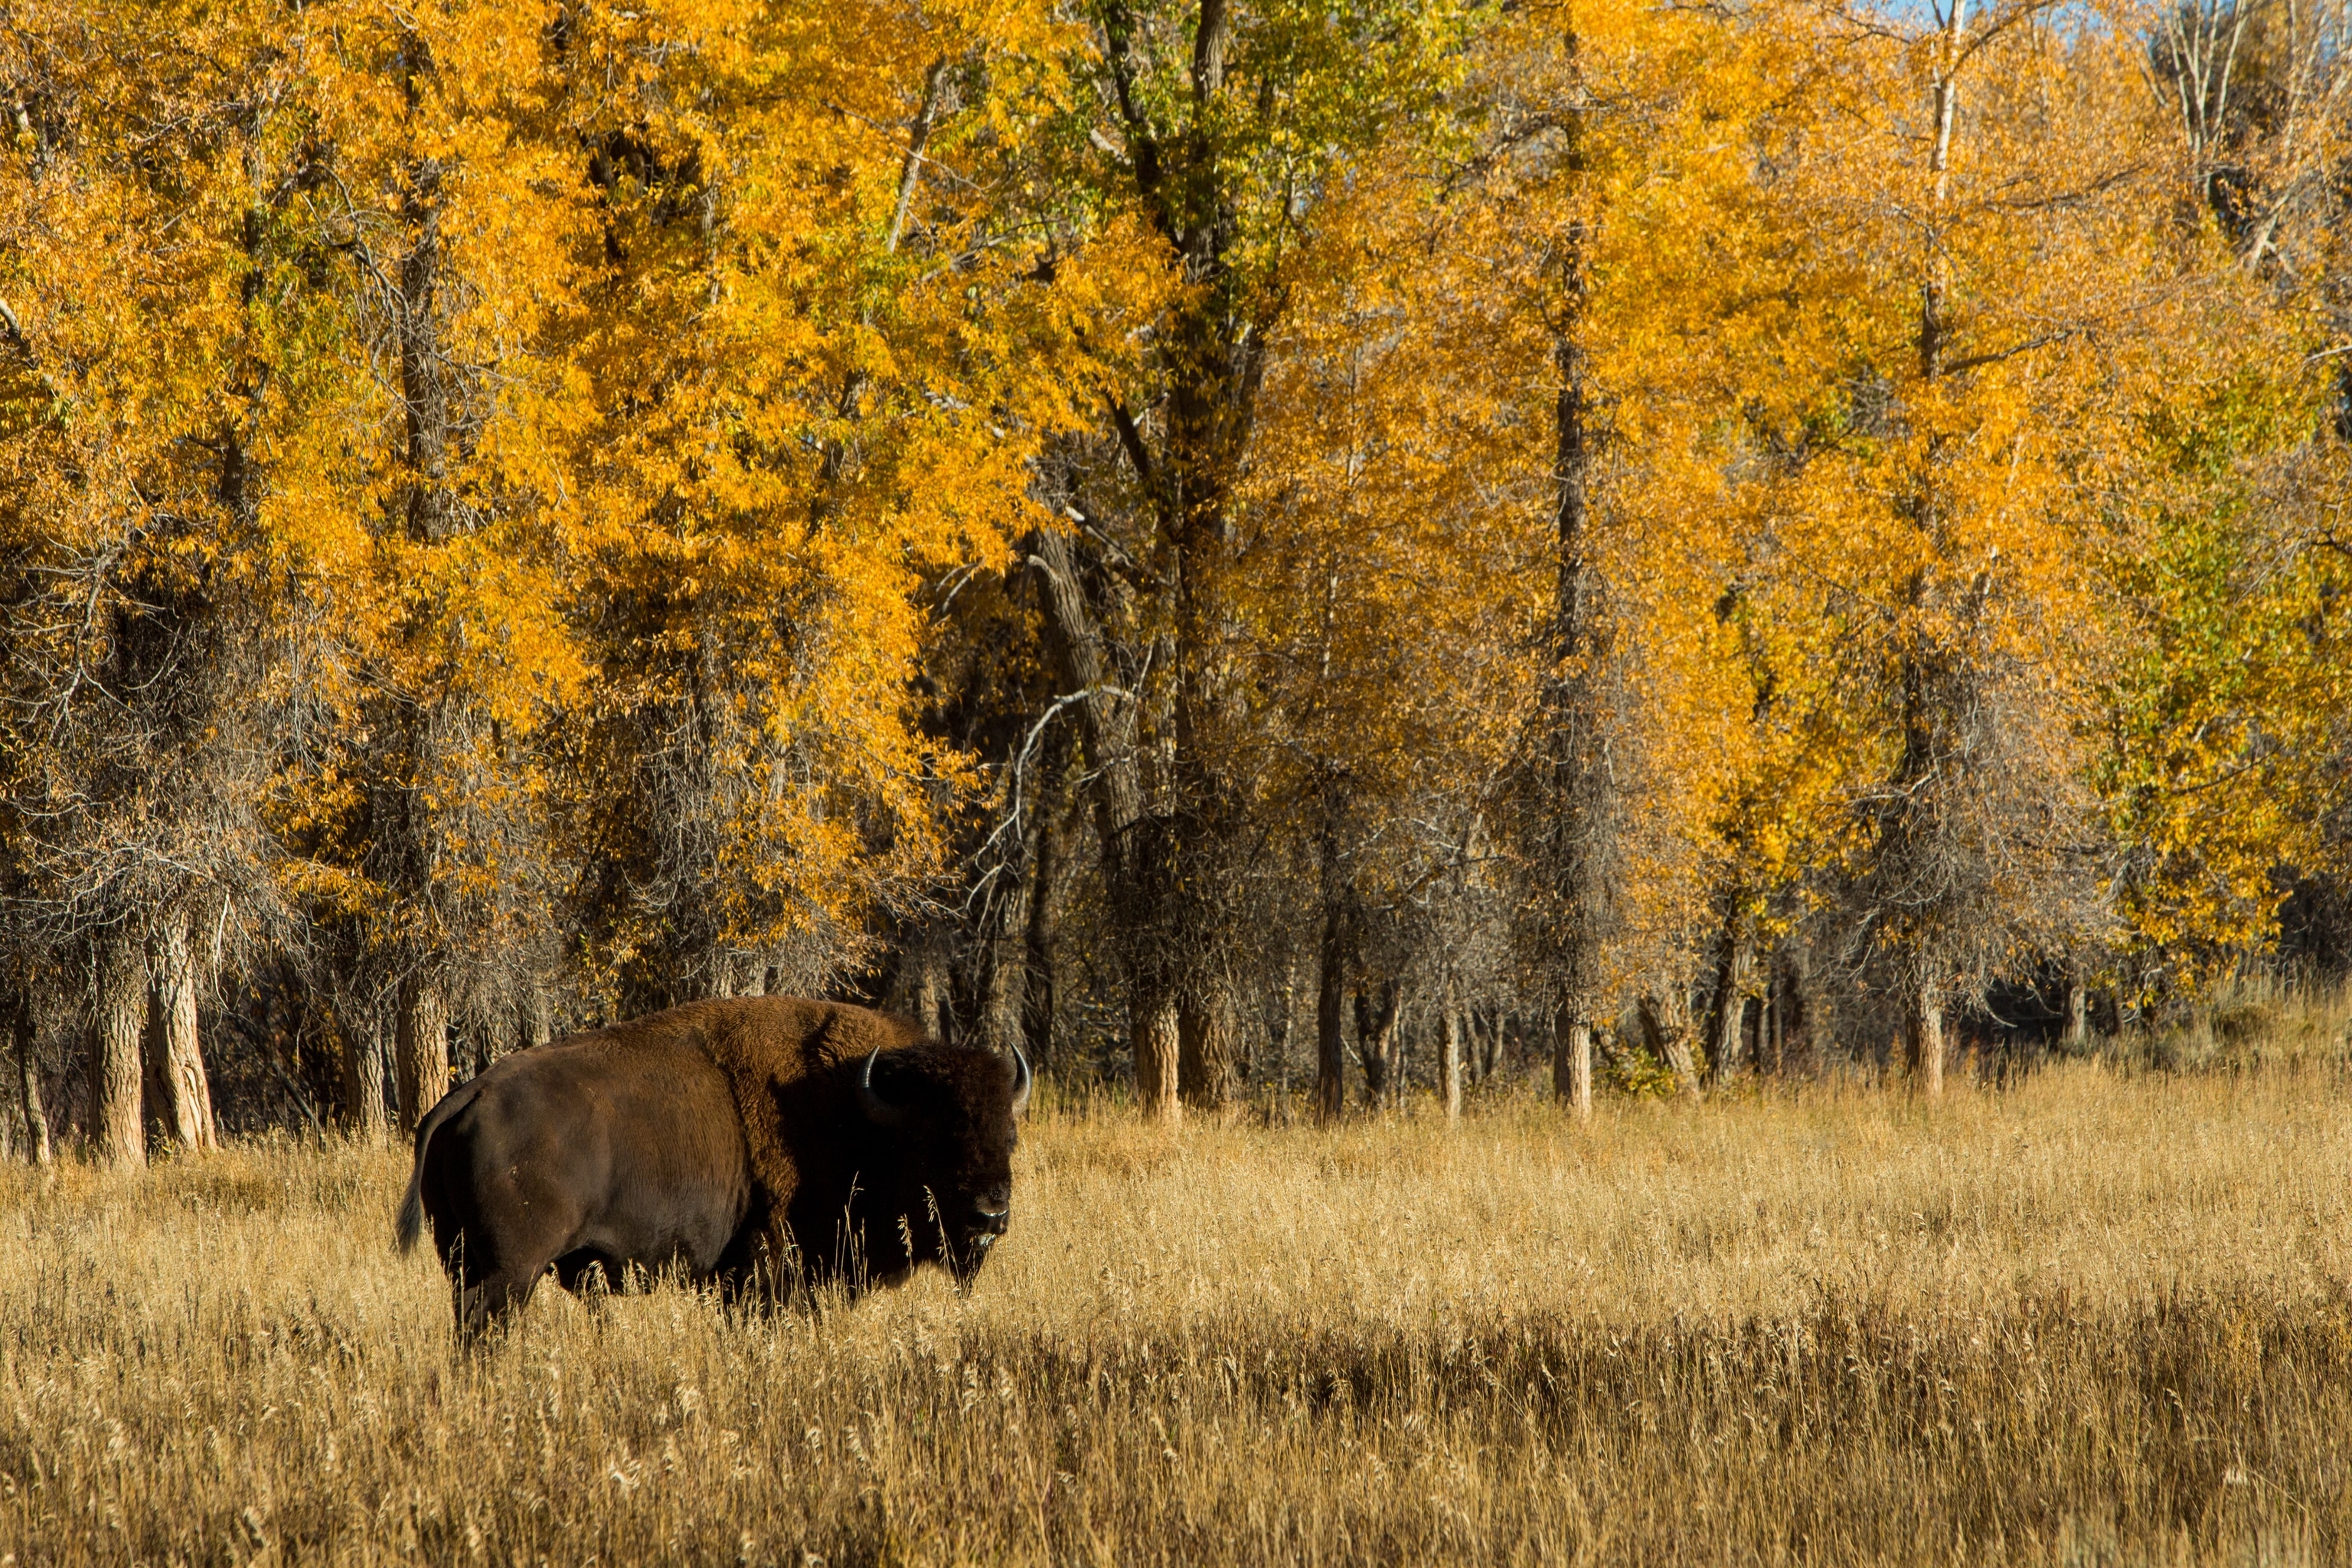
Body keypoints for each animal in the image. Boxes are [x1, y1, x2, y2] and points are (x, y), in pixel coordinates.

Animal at [394, 996, 1030, 1338]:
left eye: (1009, 1135)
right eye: (930, 1138)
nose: (990, 1216)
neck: (854, 1106)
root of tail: (471, 1094)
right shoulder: (766, 1273)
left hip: (460, 1259)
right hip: (510, 1272)